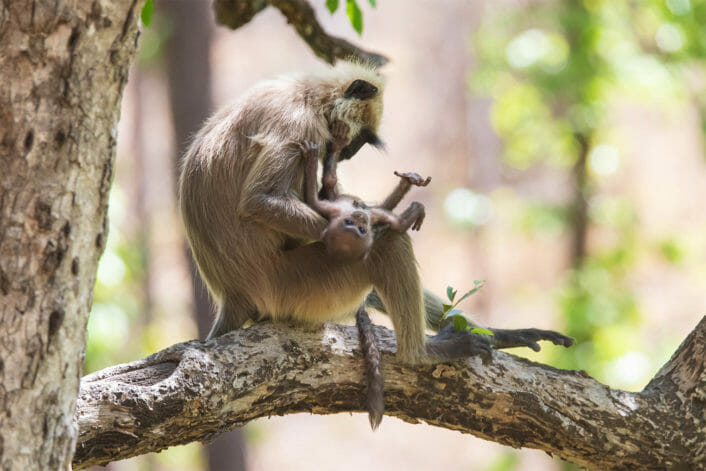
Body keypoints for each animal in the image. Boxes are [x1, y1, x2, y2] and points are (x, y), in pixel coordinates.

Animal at [177, 61, 572, 368]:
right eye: (356, 139)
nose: (347, 152)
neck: (308, 93)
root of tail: (233, 294)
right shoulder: (296, 122)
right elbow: (260, 201)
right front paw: (390, 217)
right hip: (293, 286)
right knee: (386, 245)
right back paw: (420, 354)